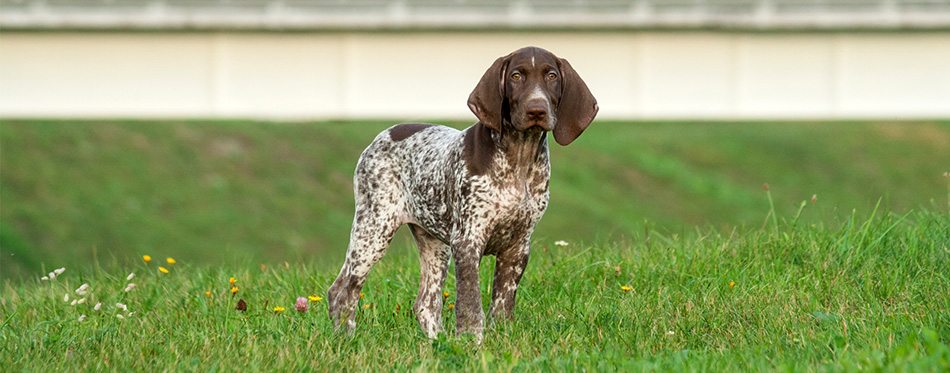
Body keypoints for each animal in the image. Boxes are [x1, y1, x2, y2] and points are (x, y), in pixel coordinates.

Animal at [328, 46, 596, 340]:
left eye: (551, 76)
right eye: (516, 76)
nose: (536, 109)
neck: (518, 159)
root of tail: (382, 135)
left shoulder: (518, 247)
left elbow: (502, 303)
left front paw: (500, 339)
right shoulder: (468, 240)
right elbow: (470, 303)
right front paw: (471, 341)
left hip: (434, 246)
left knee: (425, 303)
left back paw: (436, 342)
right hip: (374, 230)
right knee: (344, 292)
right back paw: (346, 339)